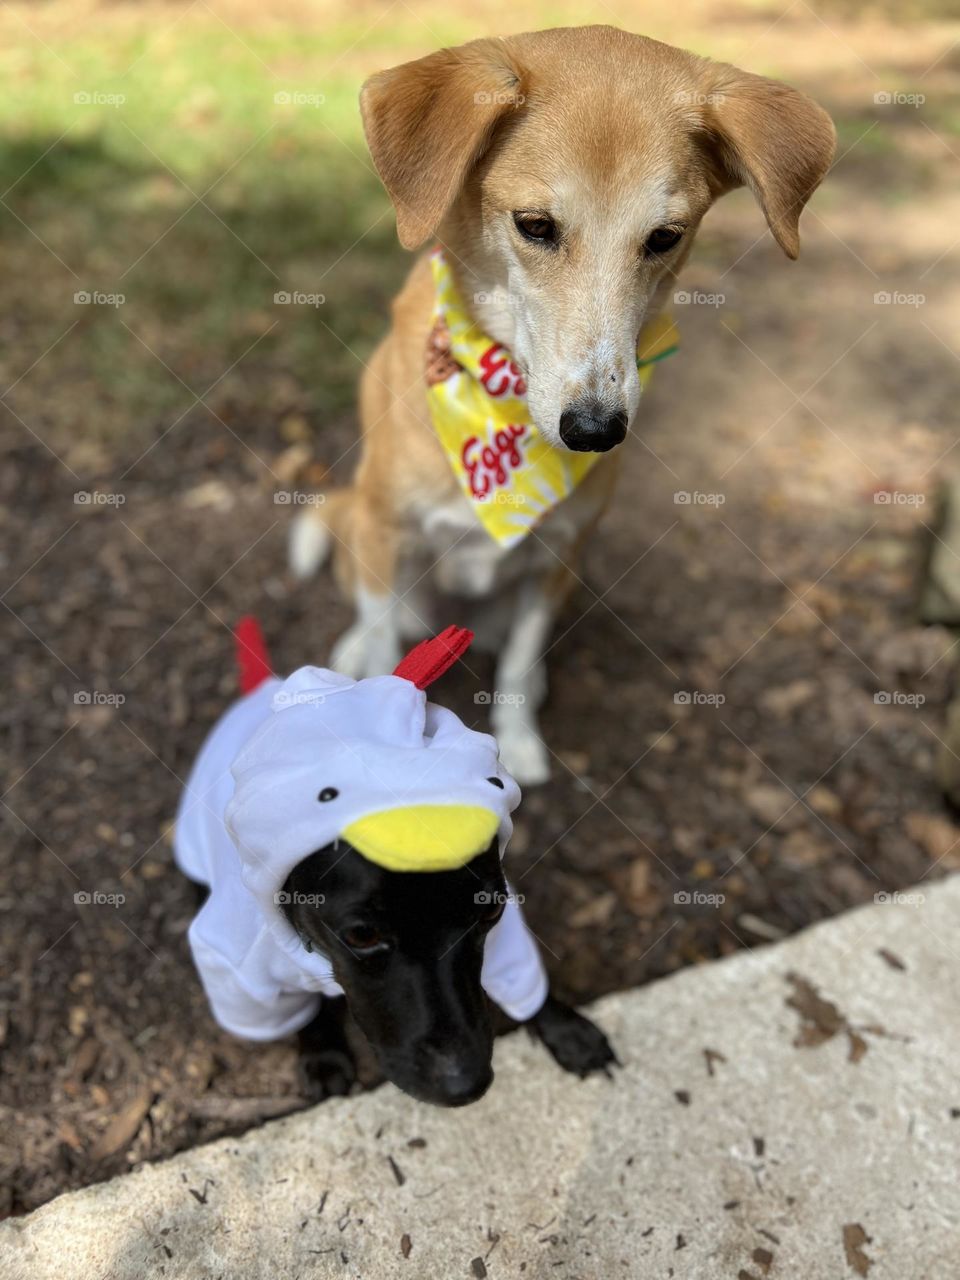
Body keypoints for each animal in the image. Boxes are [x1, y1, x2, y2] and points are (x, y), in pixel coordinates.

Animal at [291, 24, 834, 783]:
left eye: (665, 237)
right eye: (535, 225)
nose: (595, 430)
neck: (500, 412)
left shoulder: (556, 560)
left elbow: (519, 664)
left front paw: (518, 745)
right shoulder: (383, 530)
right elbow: (378, 639)